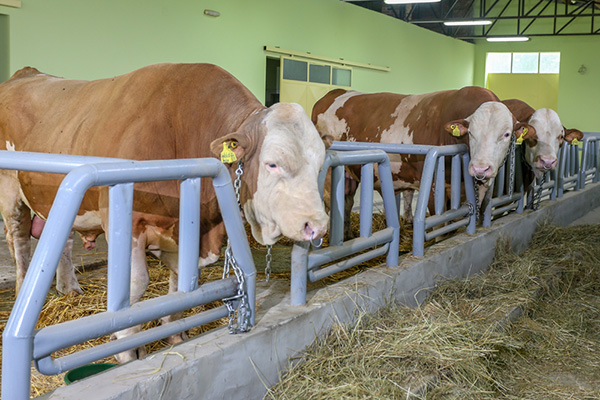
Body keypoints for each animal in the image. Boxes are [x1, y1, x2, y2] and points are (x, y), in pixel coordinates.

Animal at [0, 63, 328, 362]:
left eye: (319, 163)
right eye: (272, 163)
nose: (317, 225)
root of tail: (25, 73)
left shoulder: (187, 229)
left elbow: (182, 282)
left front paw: (175, 333)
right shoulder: (126, 222)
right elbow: (134, 285)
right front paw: (127, 347)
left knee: (63, 239)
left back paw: (69, 289)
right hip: (10, 191)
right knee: (19, 242)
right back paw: (22, 291)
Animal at [312, 87, 532, 223]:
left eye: (506, 134)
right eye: (470, 133)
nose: (480, 168)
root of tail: (335, 92)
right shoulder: (435, 189)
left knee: (346, 203)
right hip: (330, 175)